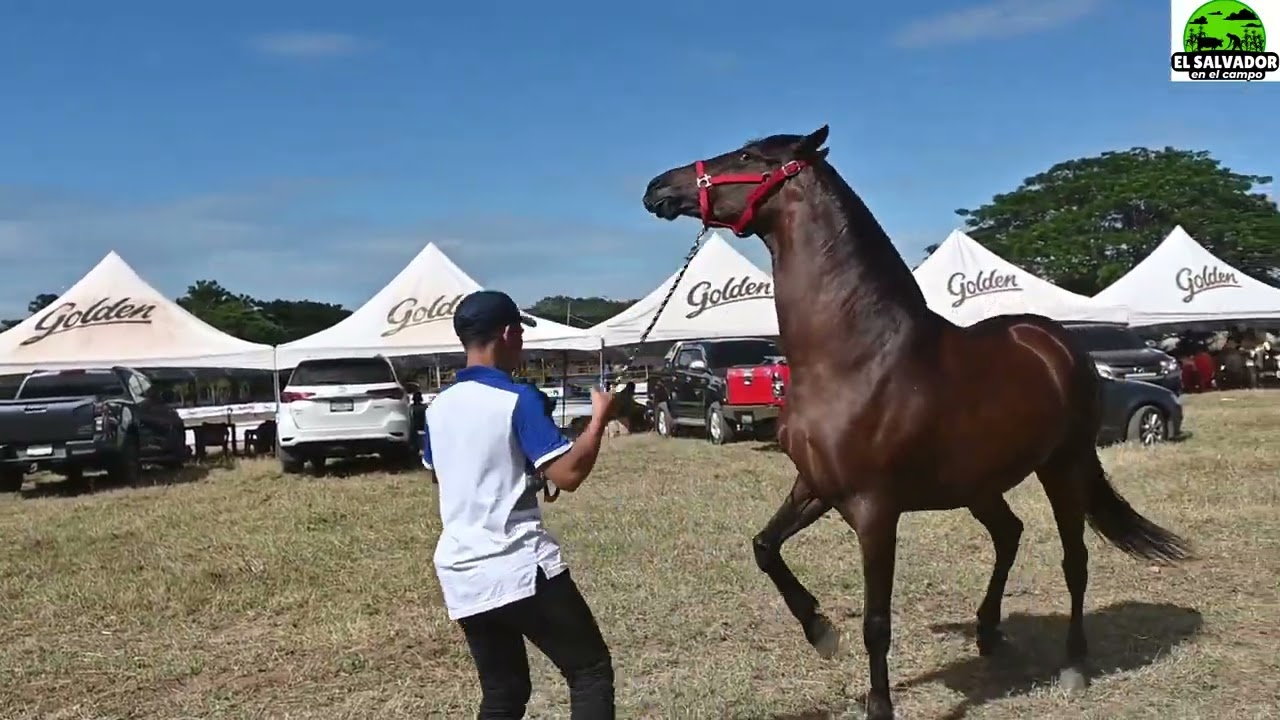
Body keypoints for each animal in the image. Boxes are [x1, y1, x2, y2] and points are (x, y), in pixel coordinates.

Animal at [640, 125, 1191, 720]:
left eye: (747, 155)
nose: (657, 187)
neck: (856, 357)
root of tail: (1057, 342)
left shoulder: (875, 509)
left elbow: (877, 622)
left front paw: (878, 704)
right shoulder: (816, 485)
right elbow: (765, 547)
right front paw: (819, 630)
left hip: (1063, 467)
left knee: (1075, 560)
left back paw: (1073, 666)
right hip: (980, 485)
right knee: (1009, 535)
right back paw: (988, 633)